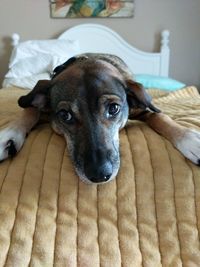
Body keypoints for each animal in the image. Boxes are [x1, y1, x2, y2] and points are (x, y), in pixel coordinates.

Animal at [0, 53, 200, 185]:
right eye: (65, 115)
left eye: (114, 108)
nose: (99, 174)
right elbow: (30, 110)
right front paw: (9, 135)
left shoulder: (141, 108)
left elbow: (159, 116)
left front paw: (189, 139)